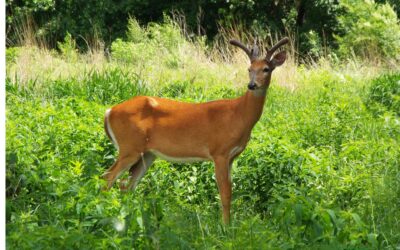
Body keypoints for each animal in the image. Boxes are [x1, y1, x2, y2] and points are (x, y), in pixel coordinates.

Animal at [104, 37, 290, 225]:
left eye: (266, 69)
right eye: (249, 69)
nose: (252, 85)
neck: (238, 115)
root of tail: (109, 112)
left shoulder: (232, 157)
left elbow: (230, 190)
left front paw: (229, 225)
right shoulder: (219, 152)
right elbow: (225, 193)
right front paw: (226, 227)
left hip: (147, 154)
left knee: (126, 185)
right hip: (129, 147)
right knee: (108, 178)